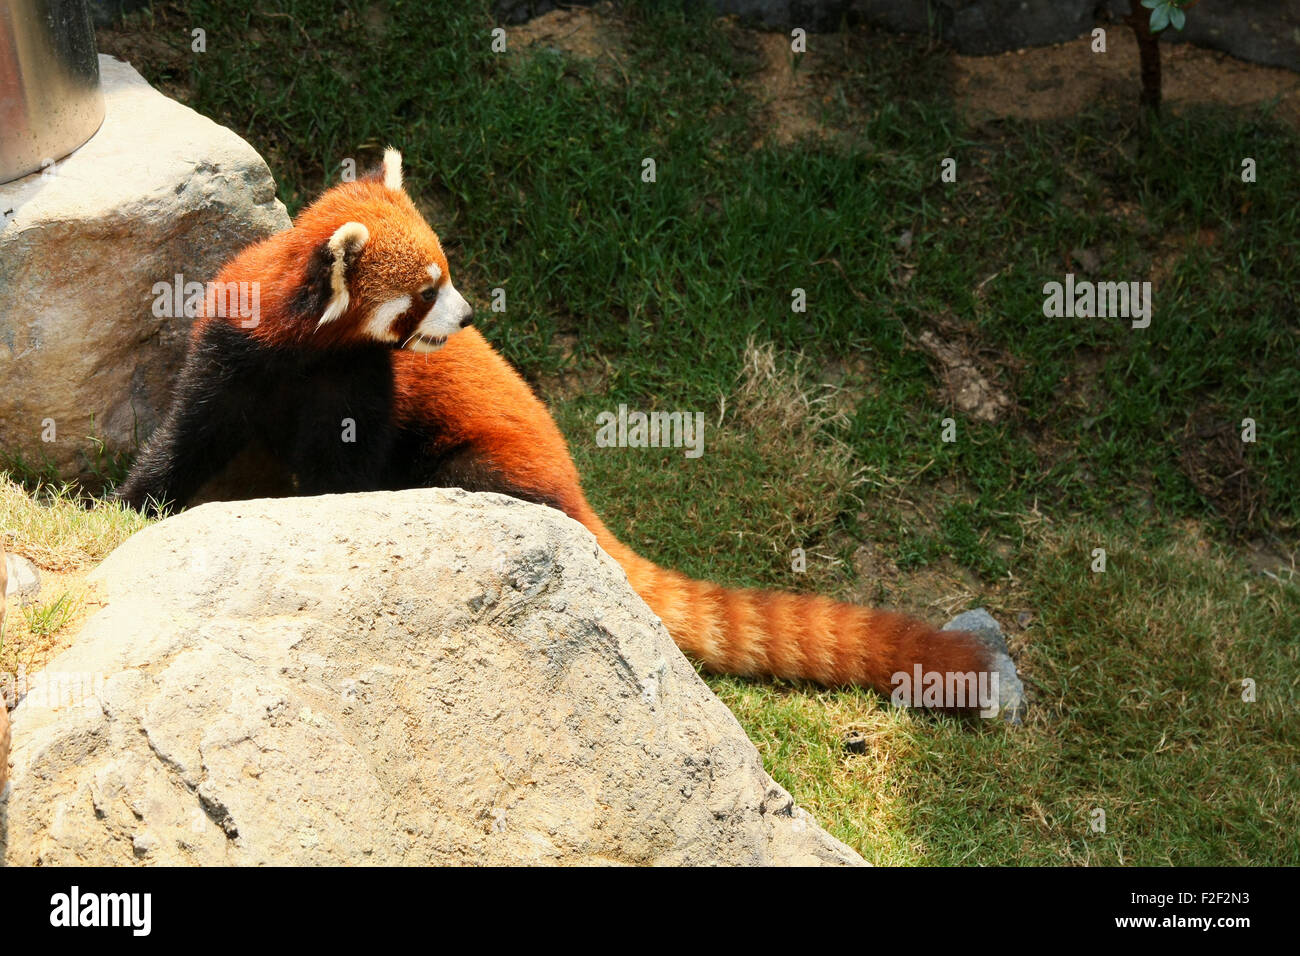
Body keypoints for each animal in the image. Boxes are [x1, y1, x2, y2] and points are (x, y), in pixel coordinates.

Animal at [116, 149, 1019, 717]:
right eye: (427, 292)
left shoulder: (363, 391)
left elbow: (342, 478)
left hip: (484, 460)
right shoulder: (235, 352)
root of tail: (575, 486)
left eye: (450, 275)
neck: (312, 351)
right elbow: (186, 436)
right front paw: (129, 505)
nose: (469, 318)